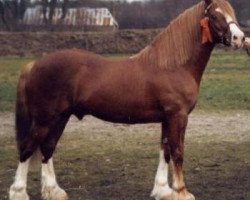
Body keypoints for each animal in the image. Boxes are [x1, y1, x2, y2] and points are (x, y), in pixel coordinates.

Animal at [9, 0, 244, 200]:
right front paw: (182, 192)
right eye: (213, 15)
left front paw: (162, 190)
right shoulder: (178, 116)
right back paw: (19, 192)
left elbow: (165, 151)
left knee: (47, 148)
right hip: (45, 119)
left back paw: (54, 191)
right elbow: (178, 152)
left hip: (60, 118)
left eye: (231, 11)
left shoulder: (167, 118)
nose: (240, 38)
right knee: (27, 148)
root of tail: (34, 64)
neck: (173, 66)